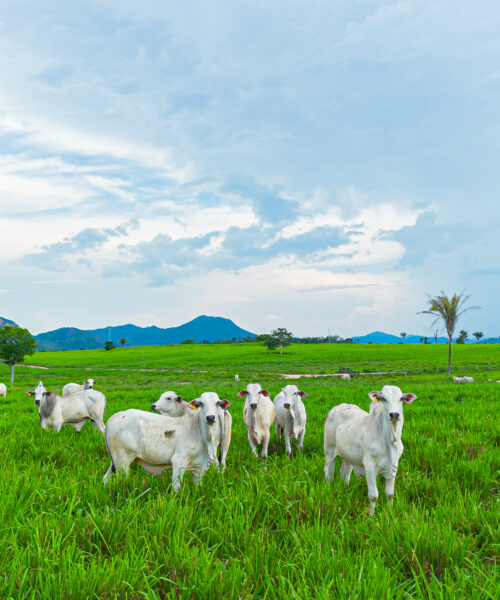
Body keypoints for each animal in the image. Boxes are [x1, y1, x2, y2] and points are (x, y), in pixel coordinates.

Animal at [104, 392, 233, 490]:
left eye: (218, 403)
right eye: (201, 403)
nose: (210, 417)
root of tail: (112, 418)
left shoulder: (199, 468)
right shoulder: (178, 463)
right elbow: (176, 489)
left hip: (114, 462)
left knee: (106, 478)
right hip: (122, 462)